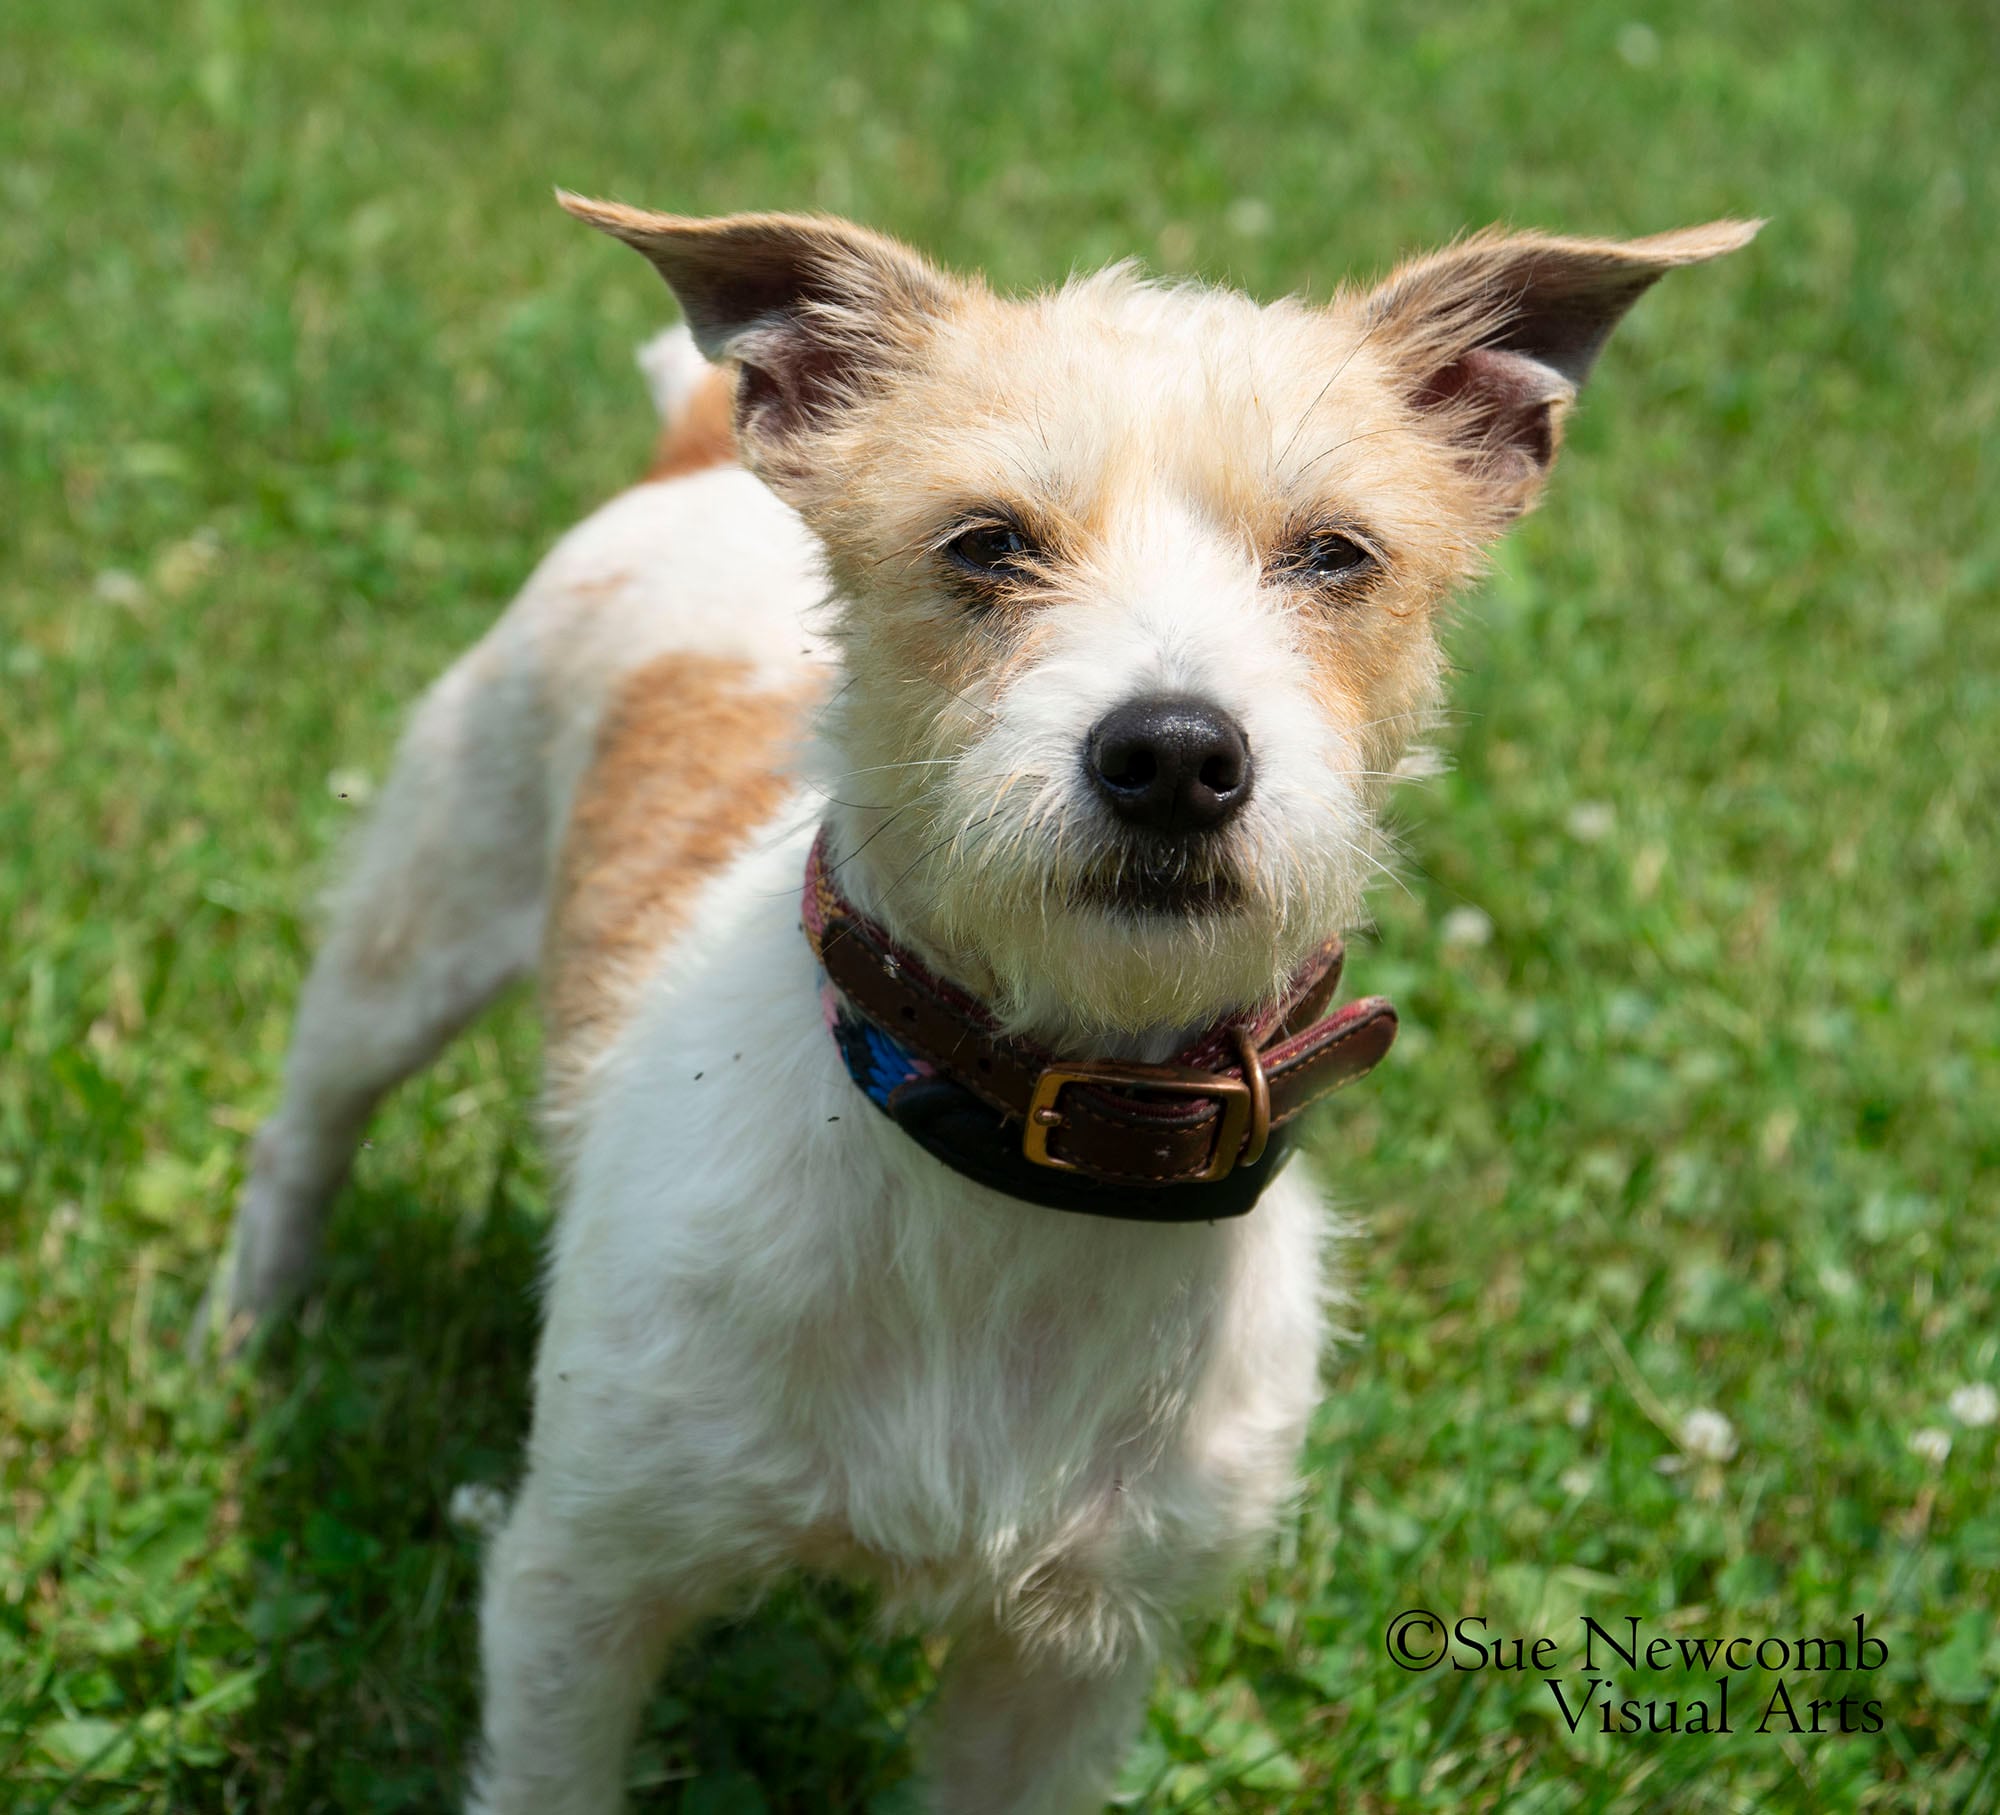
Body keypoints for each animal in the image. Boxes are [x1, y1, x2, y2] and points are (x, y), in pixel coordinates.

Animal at [215, 191, 1752, 1807]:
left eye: (1336, 554)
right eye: (985, 543)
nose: (1174, 753)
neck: (1017, 1147)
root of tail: (696, 456)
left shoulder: (1070, 1661)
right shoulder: (582, 1580)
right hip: (418, 923)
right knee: (305, 1127)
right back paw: (249, 1328)